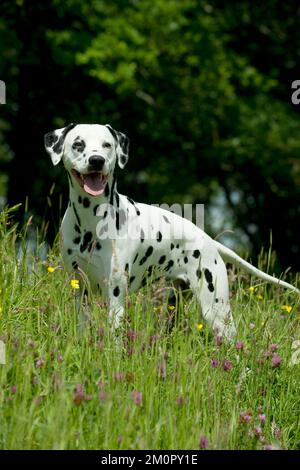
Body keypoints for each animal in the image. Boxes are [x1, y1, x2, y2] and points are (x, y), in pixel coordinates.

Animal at [43, 123, 298, 340]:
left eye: (107, 145)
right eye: (78, 144)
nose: (97, 160)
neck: (90, 221)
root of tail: (209, 240)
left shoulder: (115, 296)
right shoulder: (80, 290)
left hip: (216, 311)